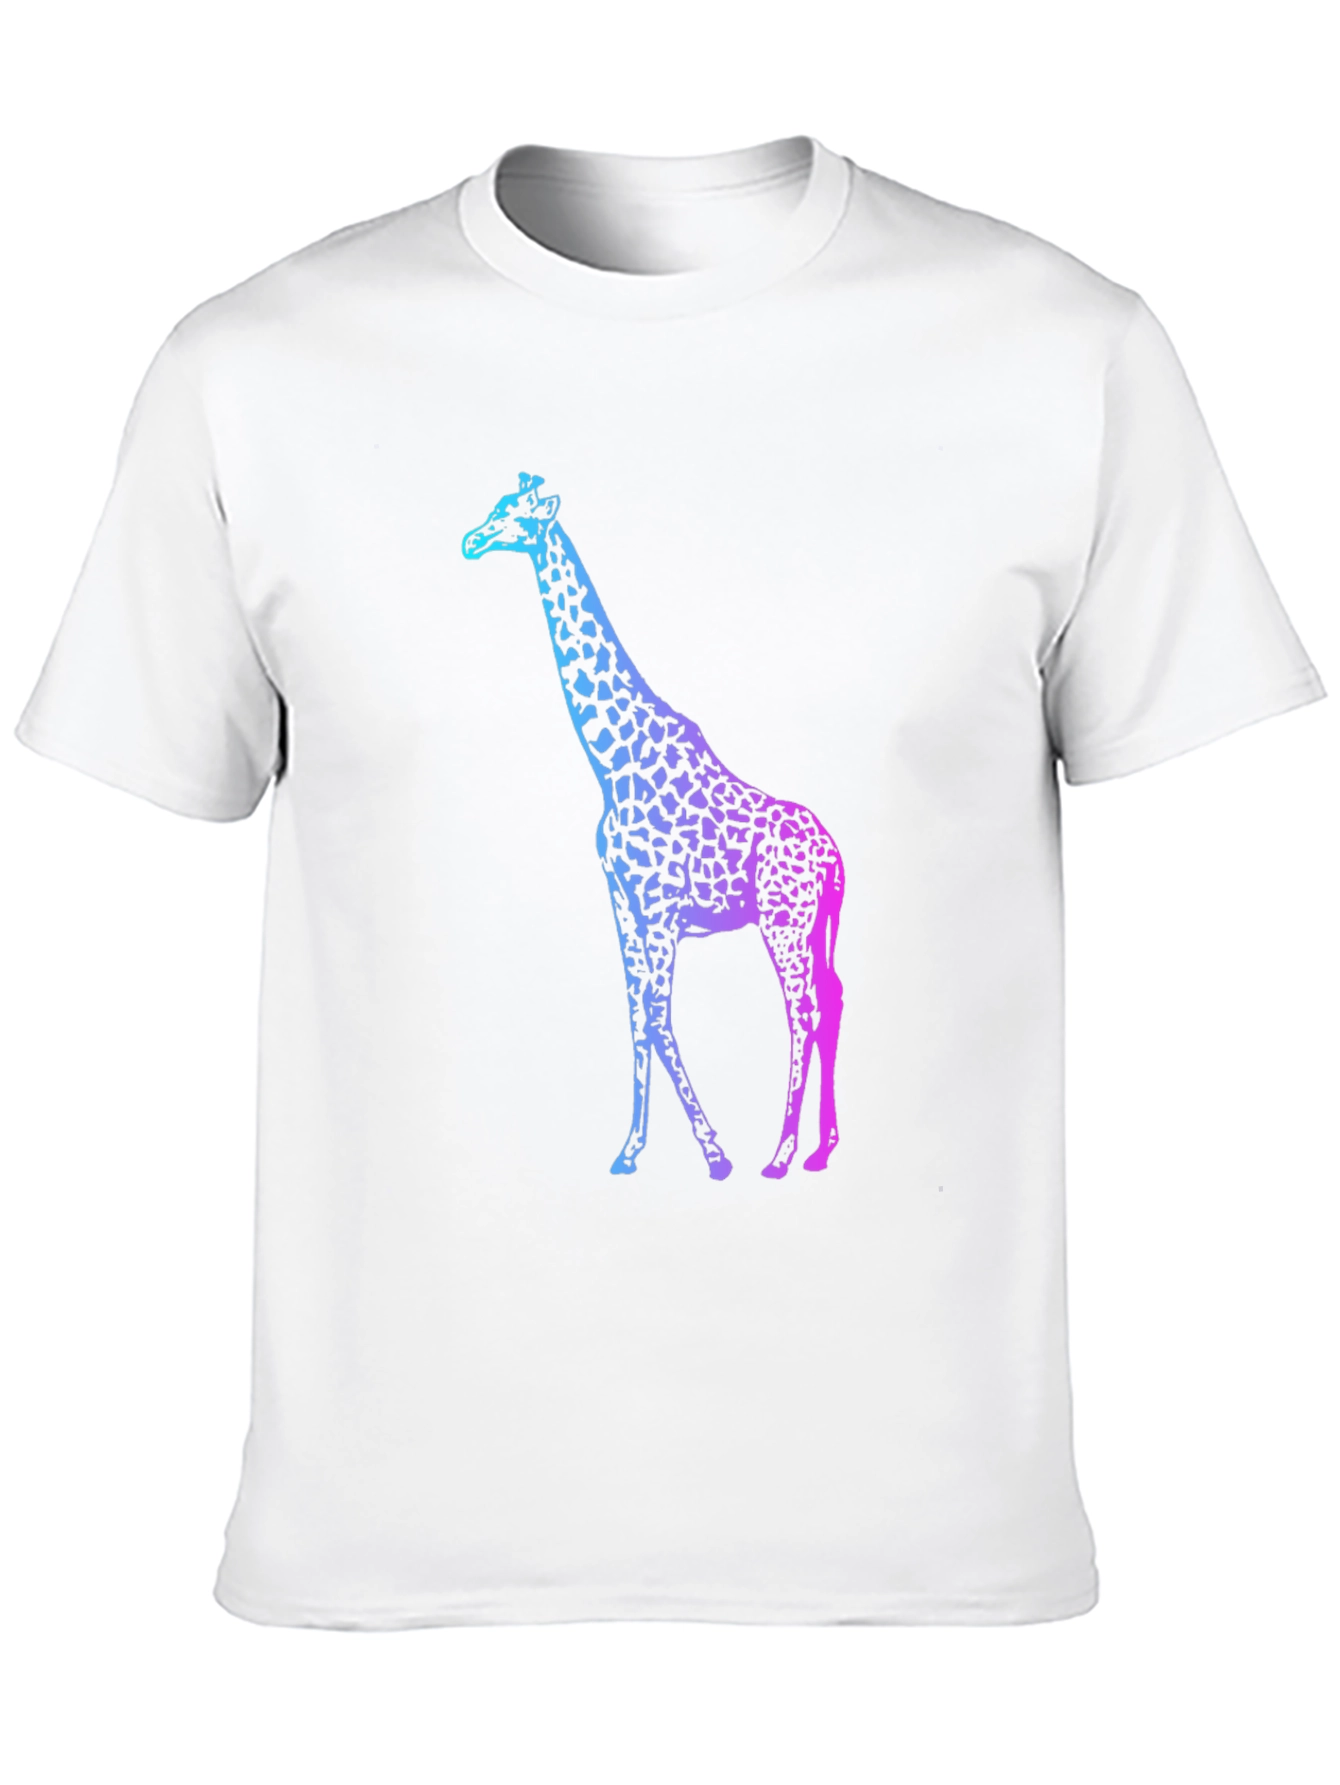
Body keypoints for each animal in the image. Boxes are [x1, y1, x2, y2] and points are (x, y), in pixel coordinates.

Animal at [462, 473, 845, 1182]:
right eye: (497, 507)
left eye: (517, 516)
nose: (472, 540)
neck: (612, 758)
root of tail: (834, 856)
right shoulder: (622, 903)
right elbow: (638, 1020)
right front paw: (629, 1151)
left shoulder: (662, 909)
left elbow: (662, 1020)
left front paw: (715, 1153)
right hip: (818, 924)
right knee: (830, 1002)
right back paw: (821, 1148)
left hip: (783, 921)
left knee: (802, 1013)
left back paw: (779, 1154)